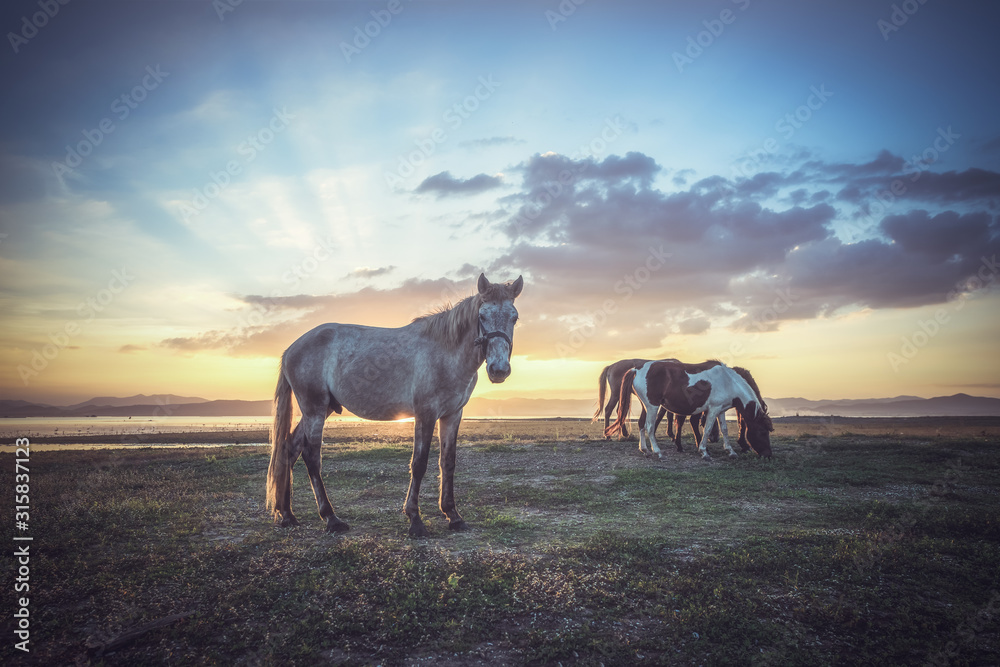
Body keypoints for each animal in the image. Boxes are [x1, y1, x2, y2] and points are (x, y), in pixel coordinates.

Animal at [270, 274, 528, 540]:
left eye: (514, 317)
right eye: (482, 316)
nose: (499, 369)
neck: (445, 351)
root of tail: (291, 349)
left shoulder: (452, 415)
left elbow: (448, 462)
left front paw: (453, 515)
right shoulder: (425, 414)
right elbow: (419, 463)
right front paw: (415, 519)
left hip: (320, 410)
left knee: (289, 449)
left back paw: (287, 515)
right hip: (315, 410)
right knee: (311, 456)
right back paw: (331, 518)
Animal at [600, 360, 772, 460]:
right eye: (763, 431)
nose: (767, 455)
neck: (728, 381)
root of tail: (636, 369)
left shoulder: (721, 410)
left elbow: (724, 429)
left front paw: (730, 451)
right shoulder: (713, 409)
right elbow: (707, 429)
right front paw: (704, 451)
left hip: (645, 406)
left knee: (641, 425)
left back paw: (645, 450)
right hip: (652, 406)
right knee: (649, 427)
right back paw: (657, 451)